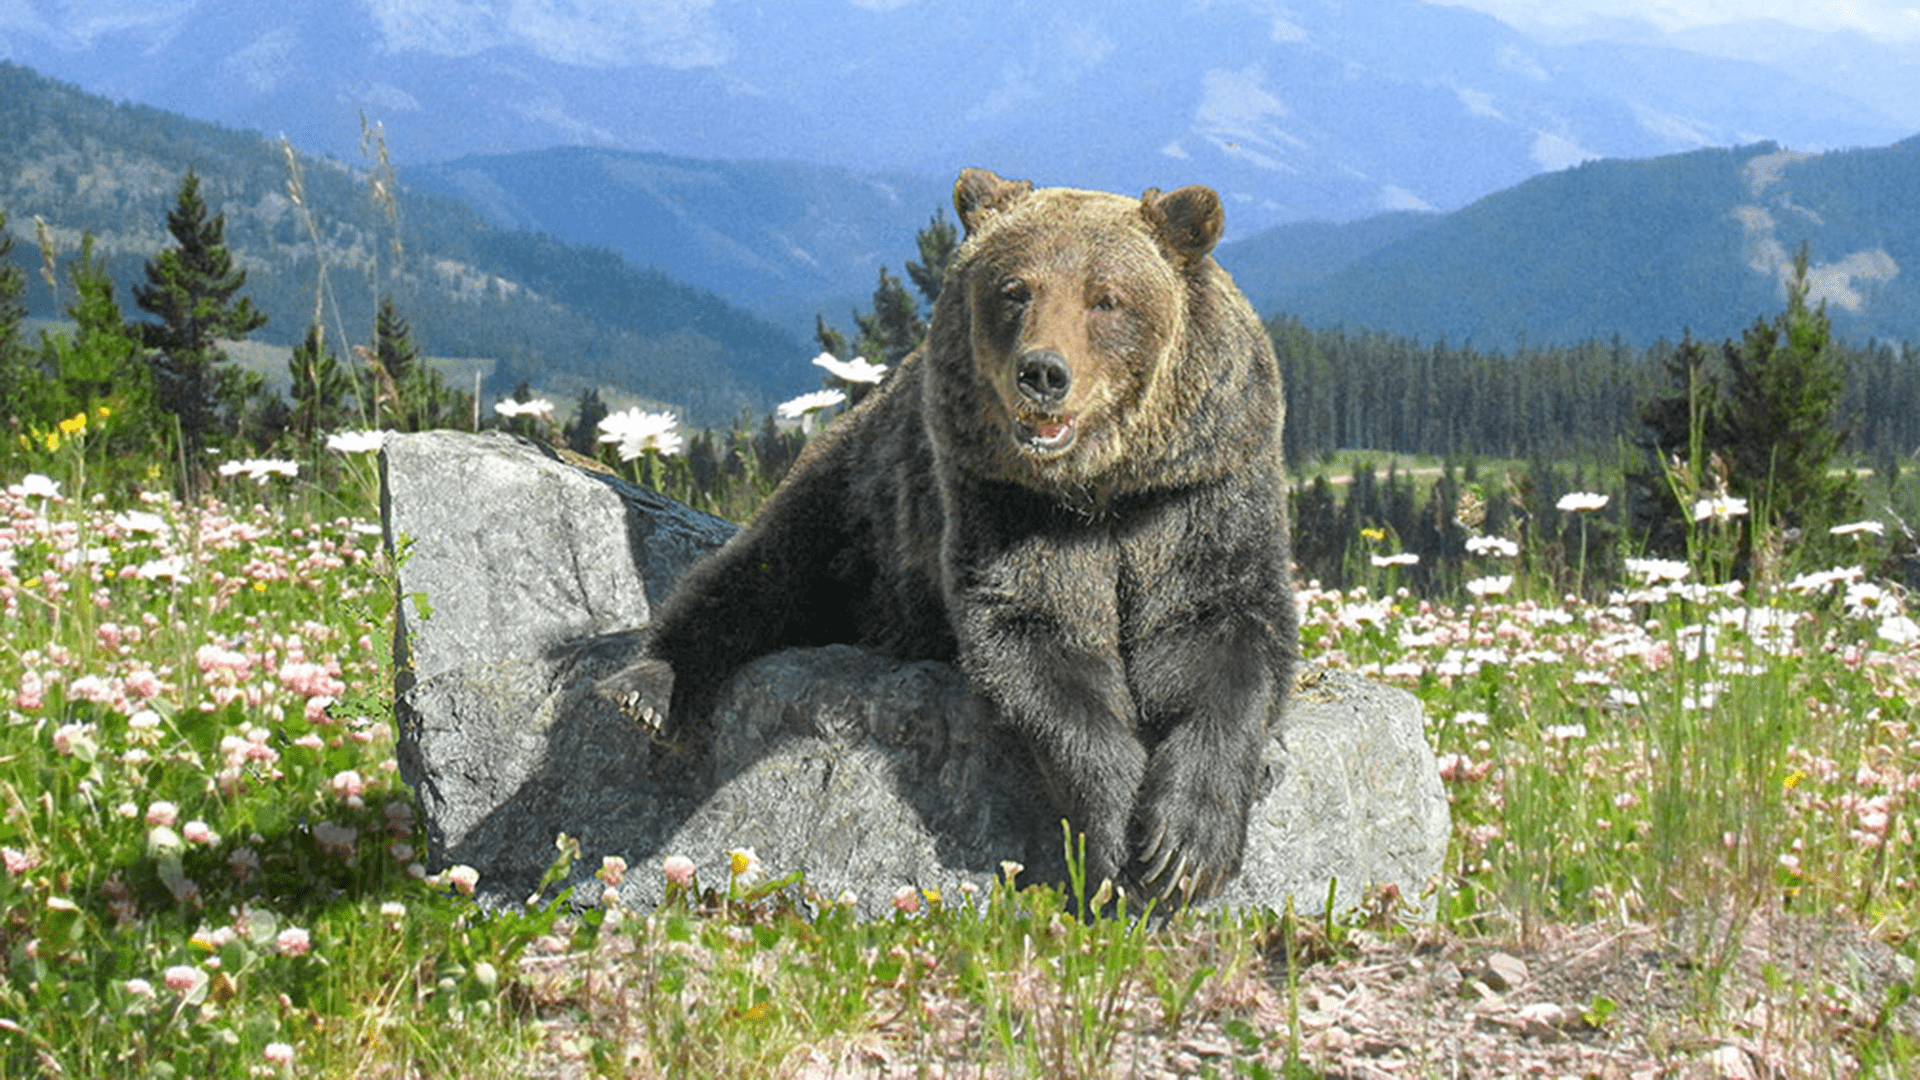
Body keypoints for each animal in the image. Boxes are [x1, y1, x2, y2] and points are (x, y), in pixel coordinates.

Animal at [638, 168, 1298, 901]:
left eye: (1107, 298)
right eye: (1015, 289)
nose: (1043, 372)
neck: (1099, 488)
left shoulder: (1194, 495)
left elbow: (1219, 631)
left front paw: (1183, 846)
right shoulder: (1003, 502)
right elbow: (1036, 642)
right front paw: (1114, 831)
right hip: (857, 505)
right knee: (760, 572)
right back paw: (651, 686)